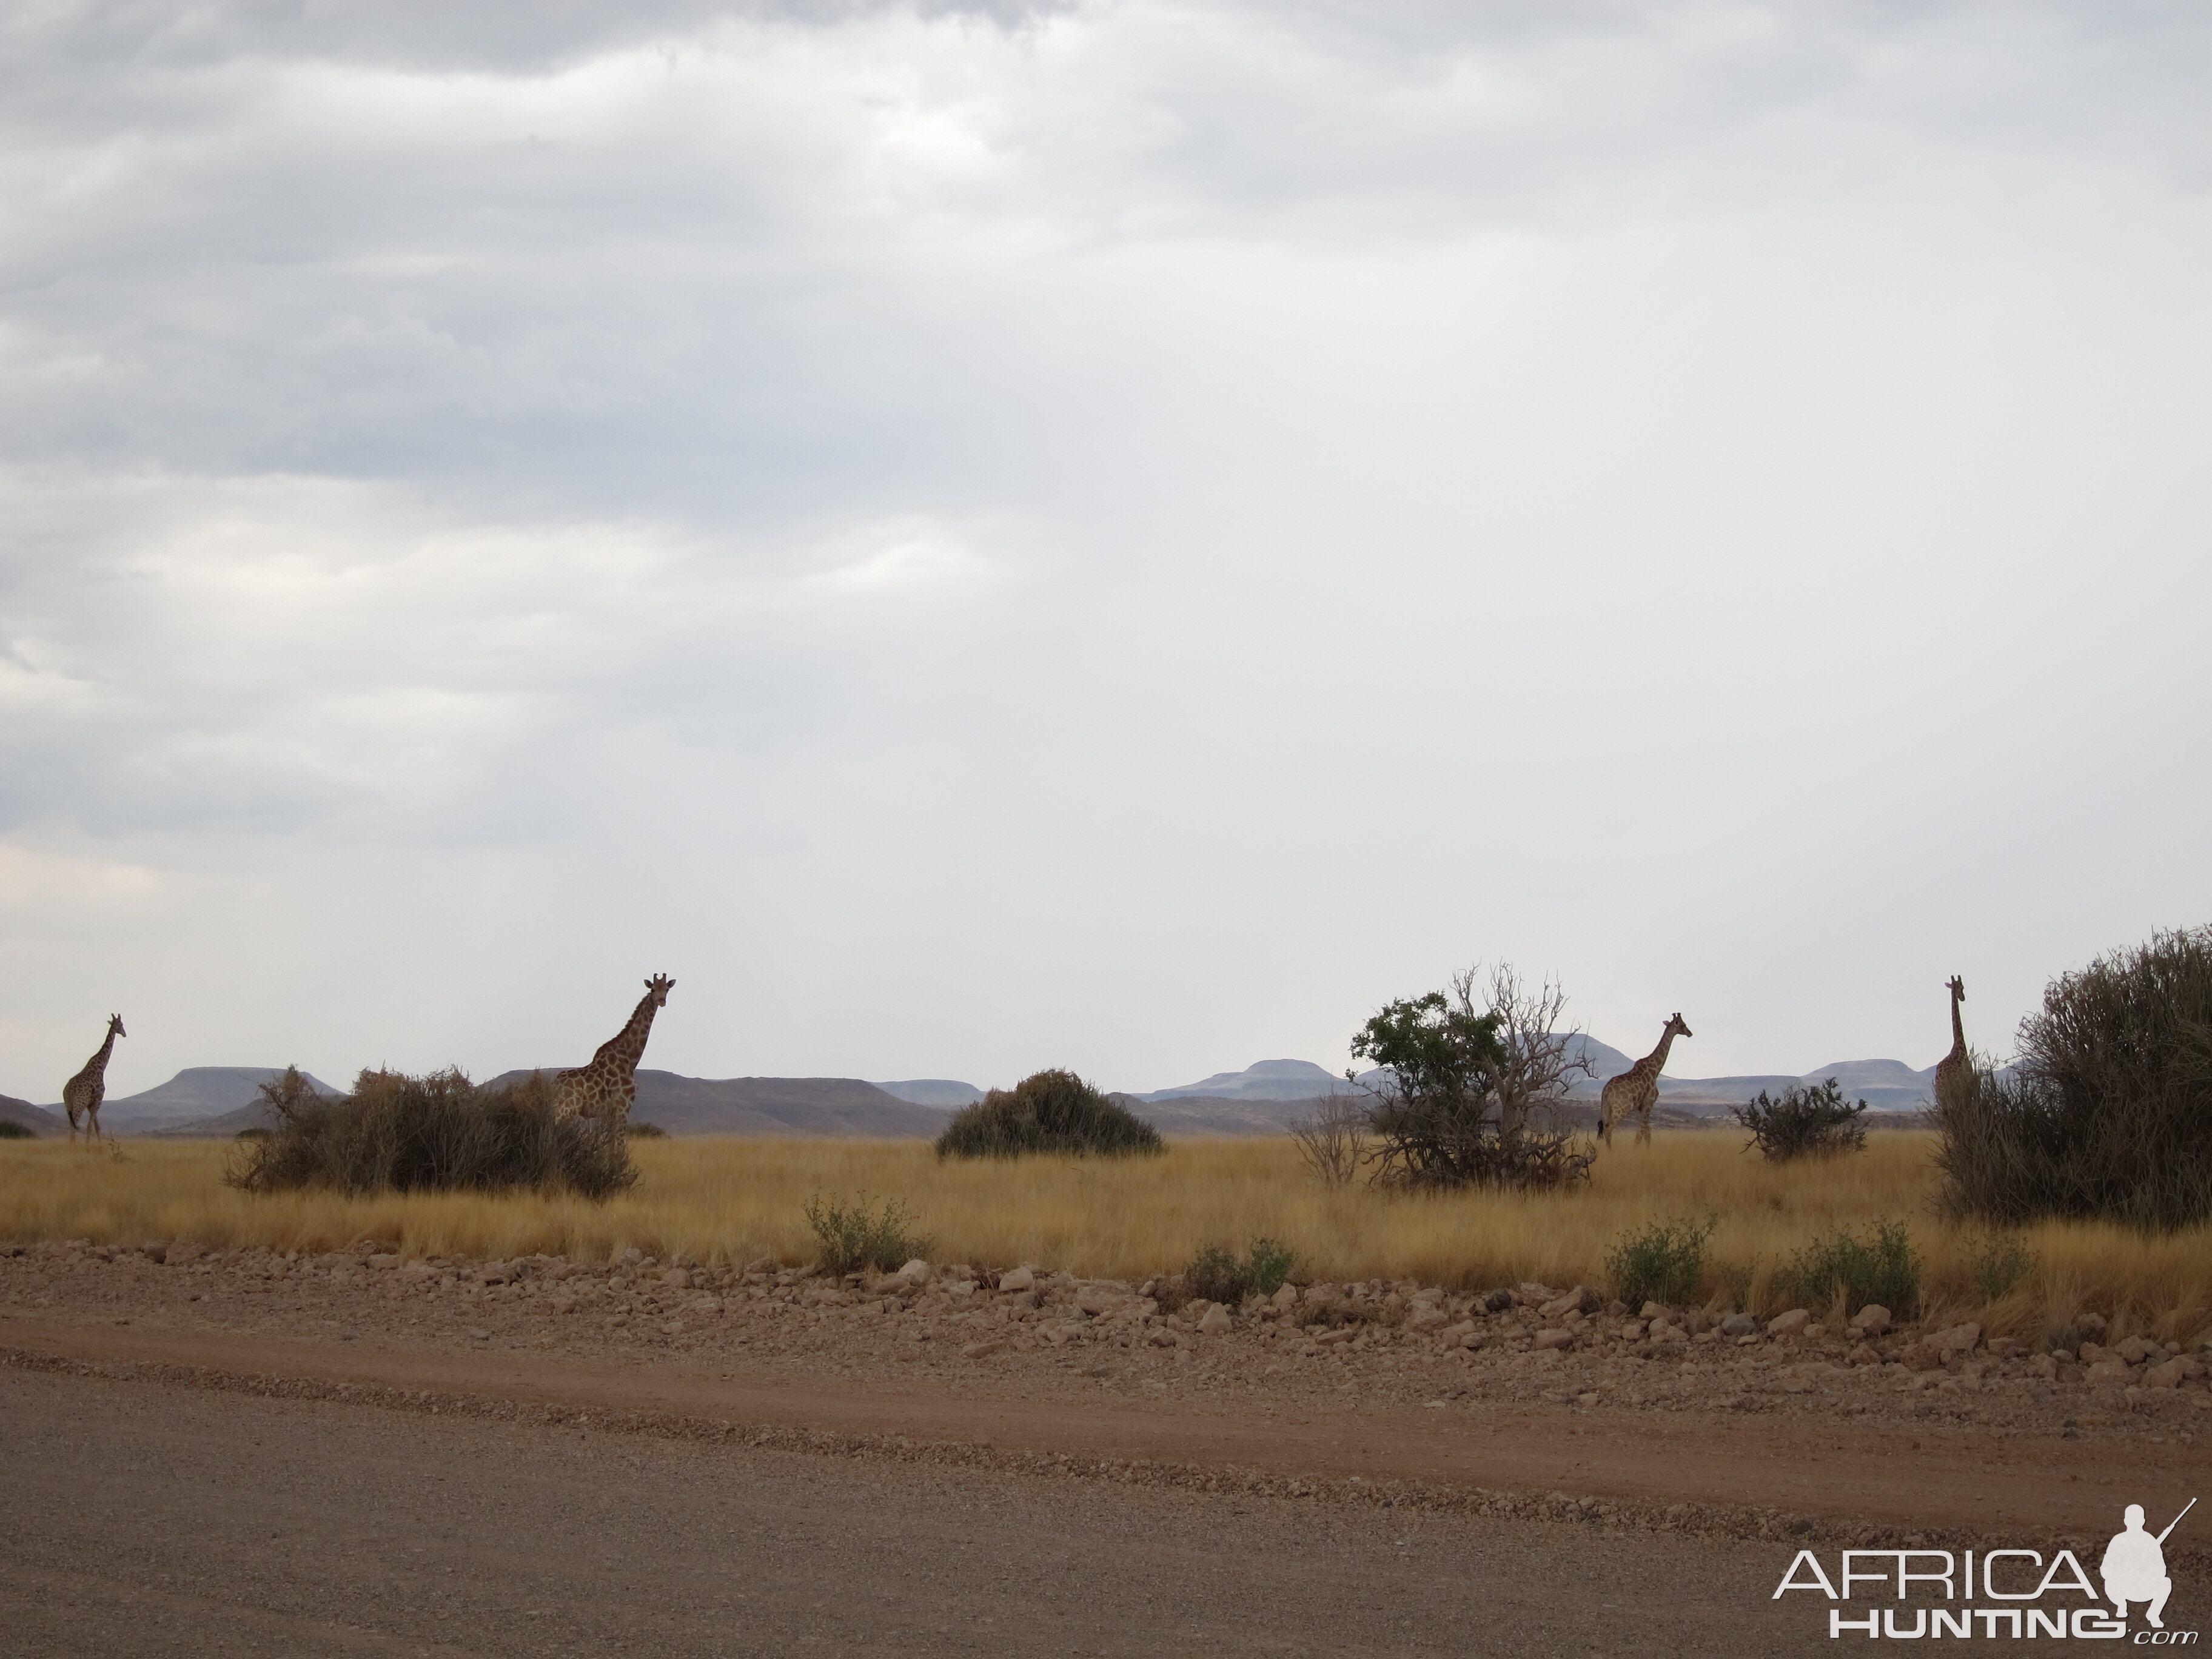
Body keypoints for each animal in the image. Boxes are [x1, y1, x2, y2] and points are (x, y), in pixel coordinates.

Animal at [62, 1022, 126, 1150]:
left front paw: (100, 1146)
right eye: (121, 1024)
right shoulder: (98, 1100)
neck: (102, 1067)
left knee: (71, 1124)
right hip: (79, 1103)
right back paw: (74, 1147)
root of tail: (69, 1090)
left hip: (68, 1105)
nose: (125, 1034)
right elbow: (90, 1127)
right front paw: (88, 1147)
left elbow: (97, 1127)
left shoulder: (91, 1103)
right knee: (75, 1123)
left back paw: (71, 1146)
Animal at [551, 973, 668, 1141]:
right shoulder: (623, 1106)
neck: (630, 1059)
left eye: (667, 989)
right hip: (567, 1110)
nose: (662, 1000)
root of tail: (555, 1085)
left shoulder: (615, 1112)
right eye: (653, 989)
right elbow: (620, 1144)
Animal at [1592, 1022, 1690, 1150]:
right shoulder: (1649, 1102)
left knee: (1603, 1127)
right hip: (1622, 1108)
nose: (1690, 1033)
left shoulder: (1642, 1107)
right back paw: (1610, 1151)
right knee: (1609, 1127)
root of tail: (1606, 1091)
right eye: (1683, 1025)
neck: (1655, 1070)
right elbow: (1641, 1133)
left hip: (1606, 1108)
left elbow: (1647, 1133)